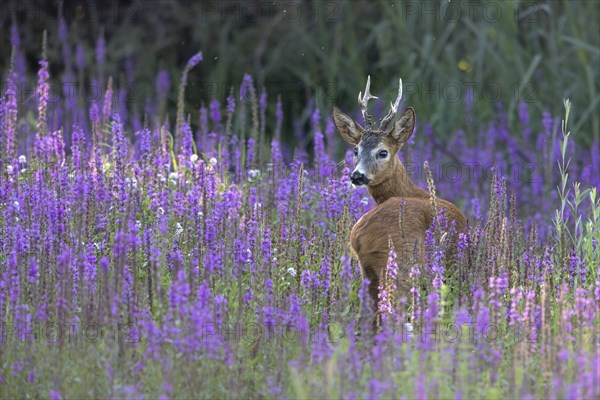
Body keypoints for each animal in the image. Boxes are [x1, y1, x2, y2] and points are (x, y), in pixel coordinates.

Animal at [332, 76, 468, 324]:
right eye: (356, 150)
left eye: (382, 152)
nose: (356, 176)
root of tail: (360, 237)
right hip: (402, 262)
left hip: (370, 270)